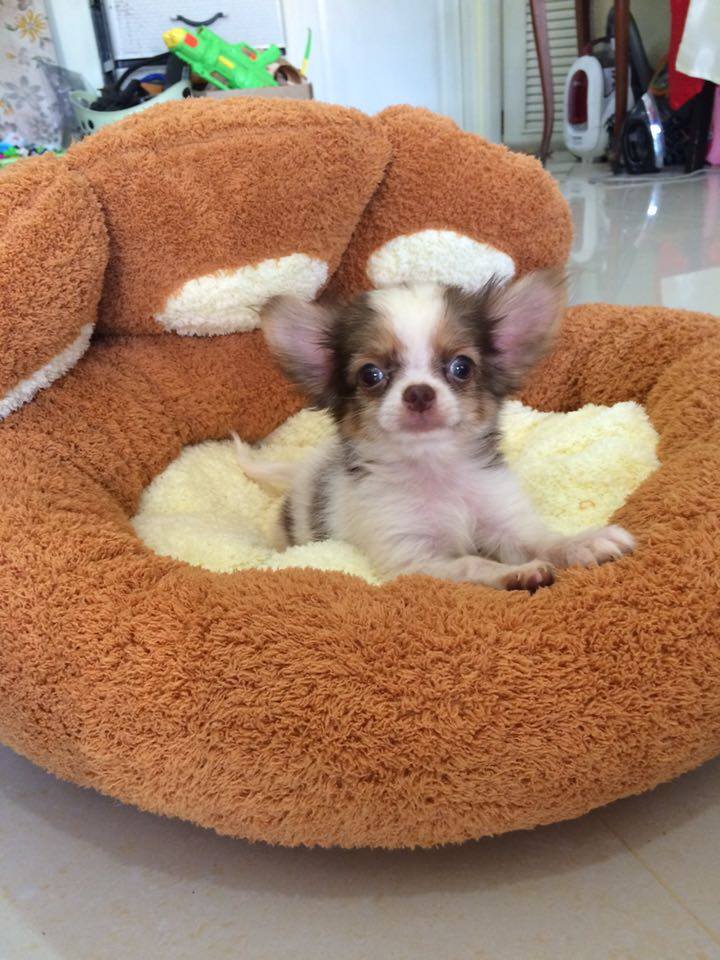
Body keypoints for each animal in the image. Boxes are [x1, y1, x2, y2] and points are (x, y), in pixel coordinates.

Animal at [234, 270, 634, 591]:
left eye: (462, 367)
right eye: (370, 375)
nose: (419, 392)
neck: (435, 470)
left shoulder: (503, 522)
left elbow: (543, 540)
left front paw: (585, 542)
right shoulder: (414, 558)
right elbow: (471, 563)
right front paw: (512, 573)